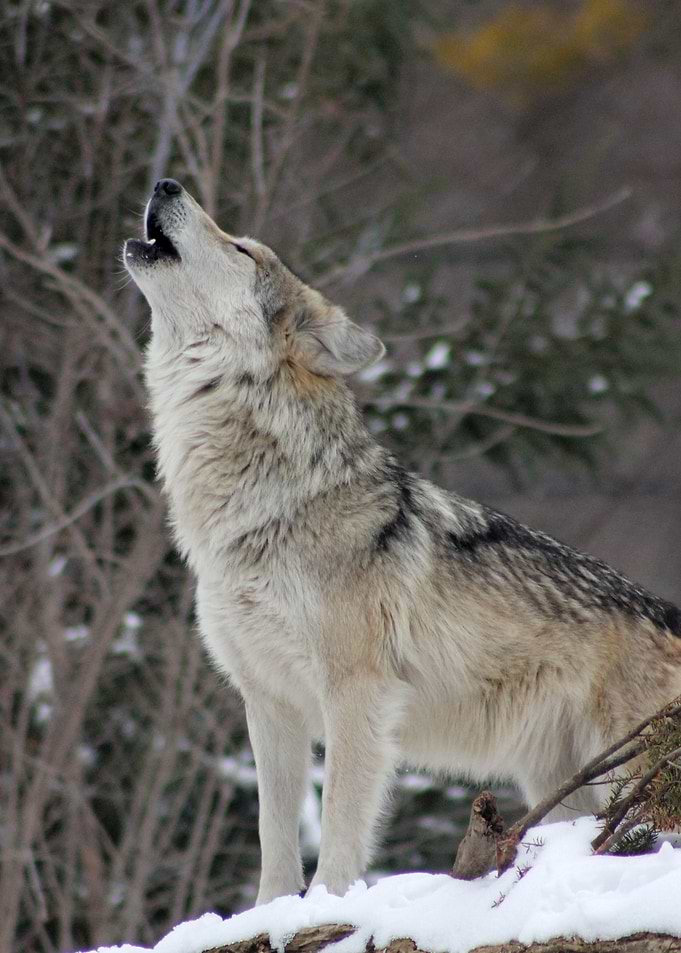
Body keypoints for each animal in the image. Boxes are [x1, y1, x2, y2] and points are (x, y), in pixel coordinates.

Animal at [124, 178, 681, 904]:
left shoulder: (356, 693)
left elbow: (337, 823)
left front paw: (328, 907)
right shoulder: (269, 703)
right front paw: (269, 913)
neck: (265, 507)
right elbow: (274, 834)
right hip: (562, 786)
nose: (165, 183)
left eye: (242, 248)